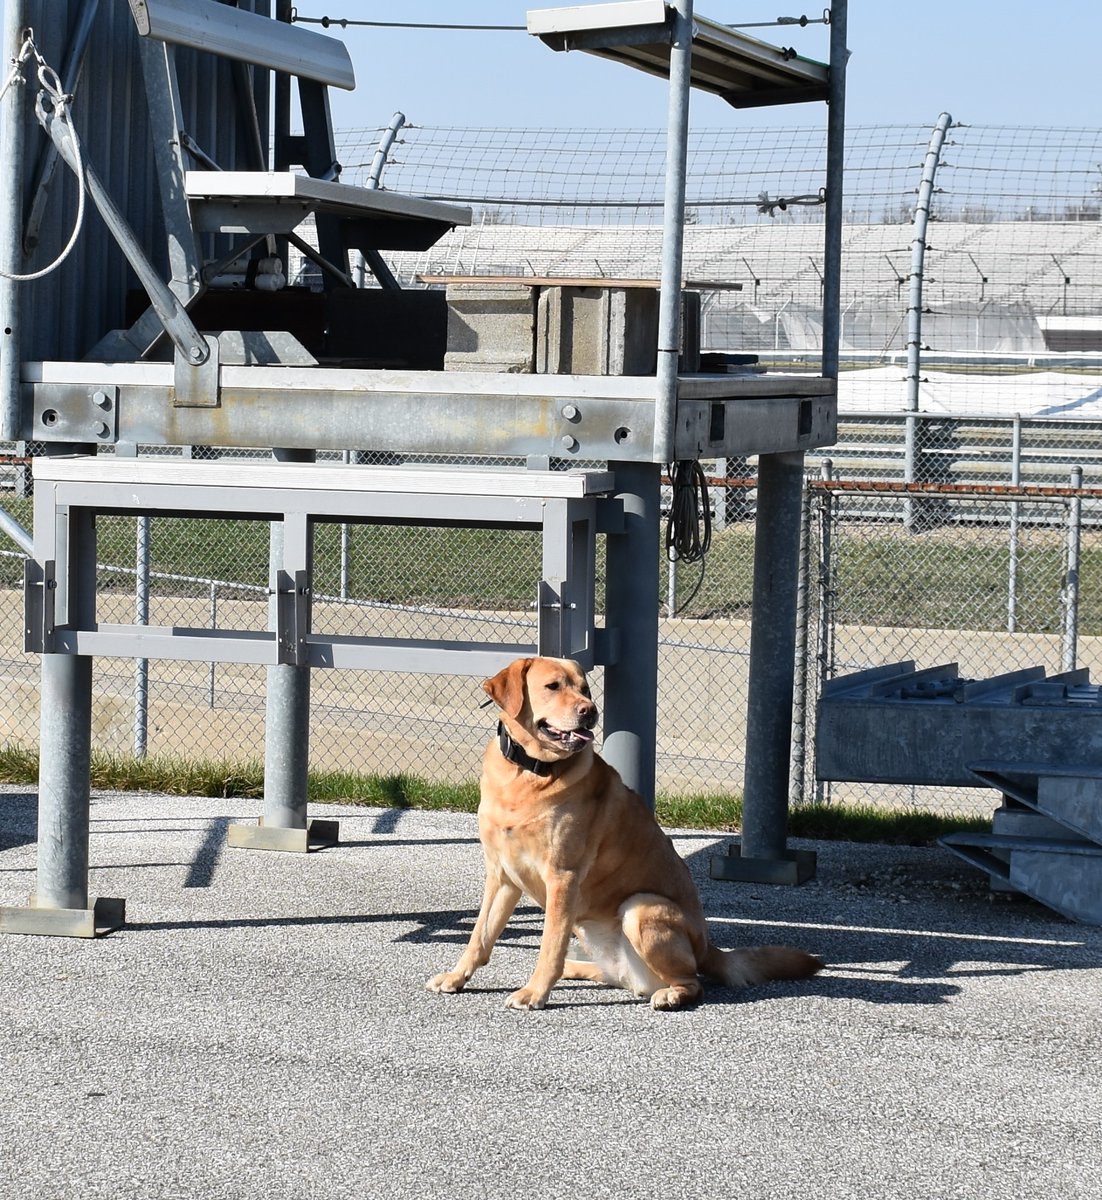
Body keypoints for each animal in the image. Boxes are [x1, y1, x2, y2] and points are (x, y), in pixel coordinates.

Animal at [427, 657, 825, 1012]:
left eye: (585, 689)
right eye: (553, 686)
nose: (590, 711)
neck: (528, 775)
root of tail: (708, 948)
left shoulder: (562, 878)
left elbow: (549, 945)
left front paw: (535, 993)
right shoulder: (501, 876)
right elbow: (479, 937)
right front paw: (456, 977)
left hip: (641, 908)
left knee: (691, 982)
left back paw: (669, 995)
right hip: (594, 932)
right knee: (613, 975)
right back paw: (579, 969)